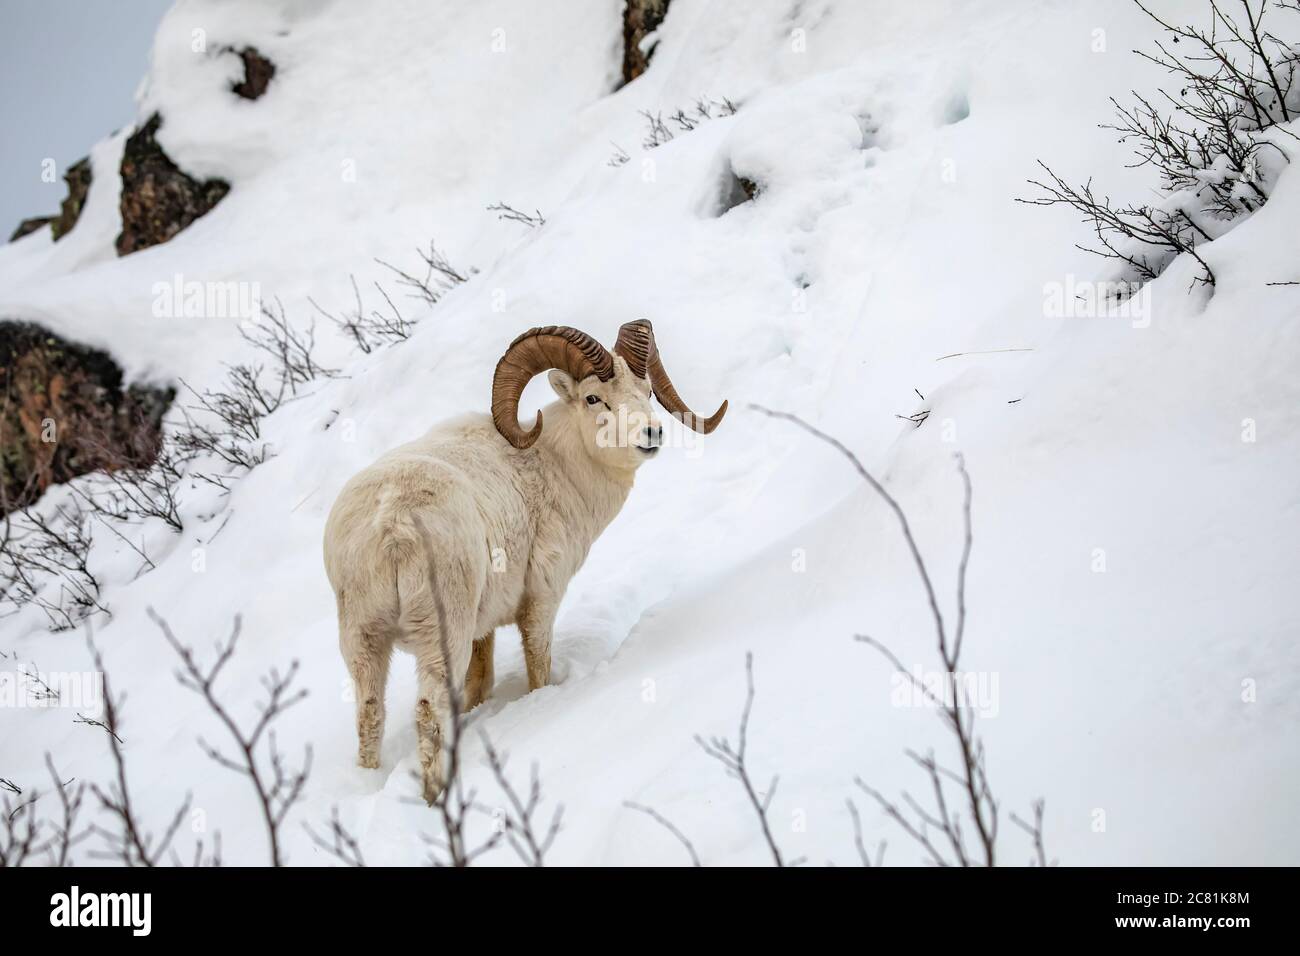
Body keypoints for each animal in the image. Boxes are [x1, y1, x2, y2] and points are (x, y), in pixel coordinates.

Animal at [321, 321, 728, 801]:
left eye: (645, 390)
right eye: (594, 399)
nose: (650, 434)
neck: (557, 465)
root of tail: (391, 525)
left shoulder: (483, 631)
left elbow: (481, 682)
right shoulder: (541, 600)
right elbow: (538, 664)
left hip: (362, 641)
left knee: (370, 713)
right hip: (441, 636)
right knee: (427, 712)